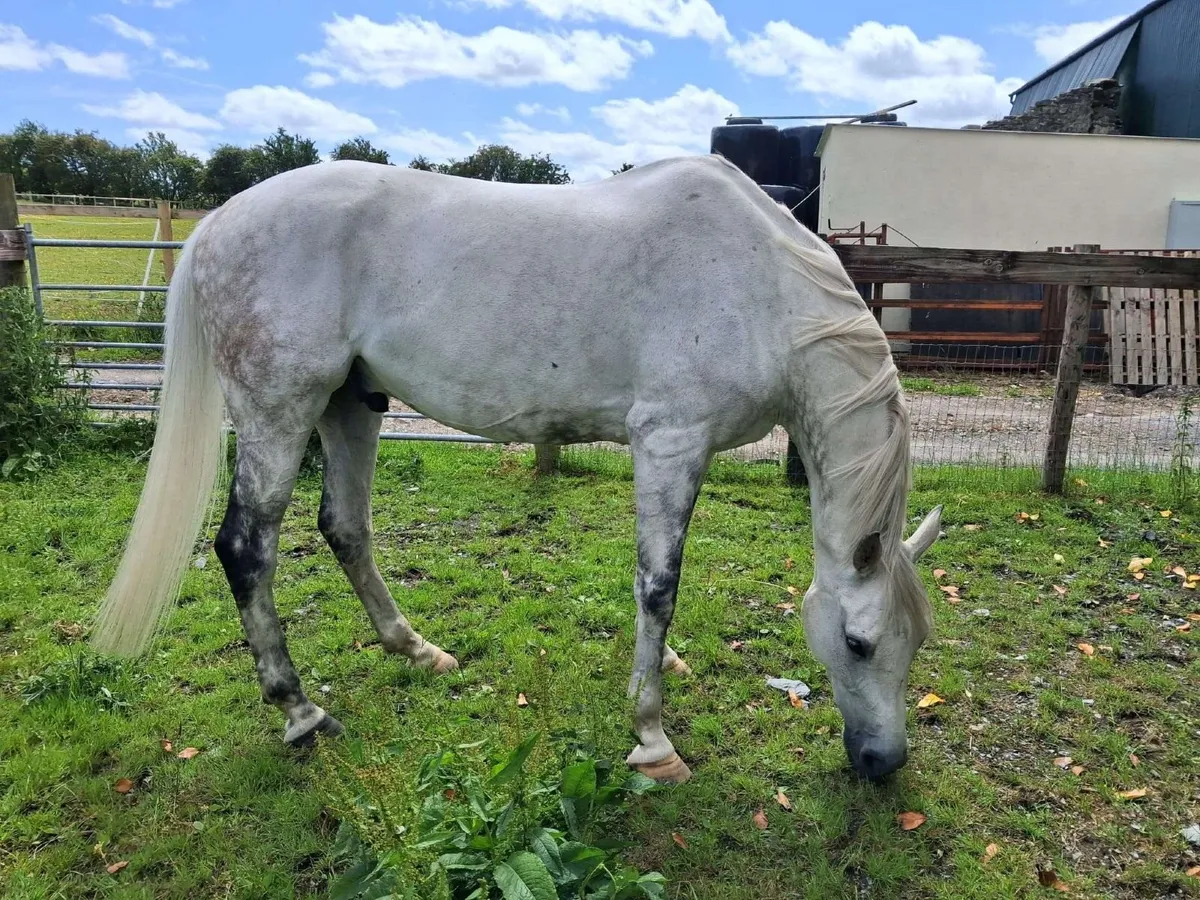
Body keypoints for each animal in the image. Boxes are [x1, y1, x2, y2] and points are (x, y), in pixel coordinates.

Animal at [90, 154, 942, 783]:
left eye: (917, 643)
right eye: (858, 644)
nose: (883, 763)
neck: (758, 286)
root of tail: (219, 222)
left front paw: (658, 668)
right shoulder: (669, 441)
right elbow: (659, 584)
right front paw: (652, 735)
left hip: (349, 405)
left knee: (345, 527)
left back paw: (417, 650)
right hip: (280, 412)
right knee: (248, 549)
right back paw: (301, 711)